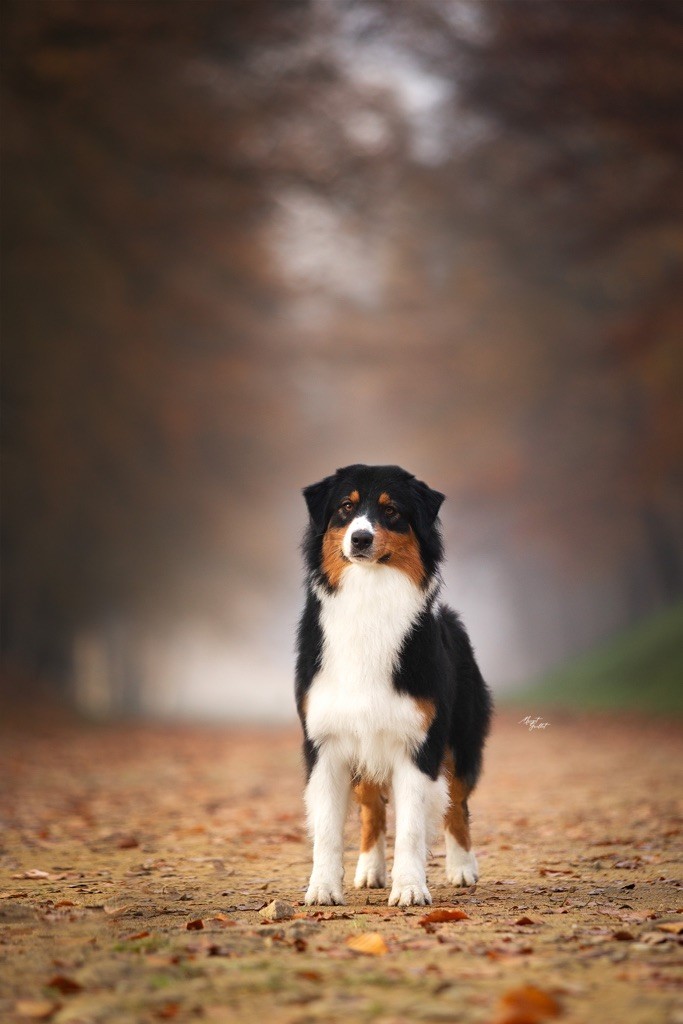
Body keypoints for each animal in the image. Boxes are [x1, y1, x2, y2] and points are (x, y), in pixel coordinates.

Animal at [294, 462, 491, 905]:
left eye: (391, 512)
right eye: (346, 508)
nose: (361, 538)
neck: (369, 599)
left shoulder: (418, 743)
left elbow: (413, 829)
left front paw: (410, 888)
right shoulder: (325, 741)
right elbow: (328, 830)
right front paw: (323, 889)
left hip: (460, 742)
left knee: (458, 803)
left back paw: (462, 868)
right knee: (372, 809)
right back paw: (369, 869)